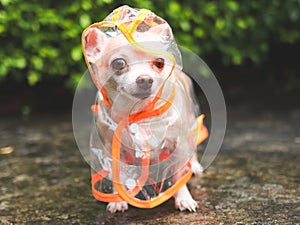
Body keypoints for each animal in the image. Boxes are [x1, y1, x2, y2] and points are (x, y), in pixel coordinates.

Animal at [83, 21, 203, 213]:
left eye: (159, 62)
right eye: (118, 63)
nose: (145, 79)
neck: (139, 112)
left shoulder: (178, 145)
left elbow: (178, 177)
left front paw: (184, 198)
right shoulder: (112, 151)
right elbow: (117, 177)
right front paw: (118, 200)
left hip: (190, 123)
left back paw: (195, 166)